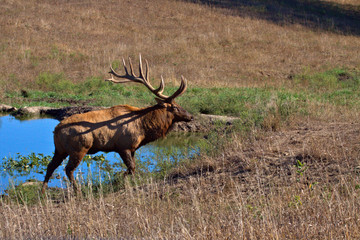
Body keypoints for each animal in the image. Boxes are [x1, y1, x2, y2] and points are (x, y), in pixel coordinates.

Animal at [41, 55, 193, 194]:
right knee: (68, 169)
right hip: (79, 148)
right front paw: (118, 179)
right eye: (175, 107)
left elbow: (133, 168)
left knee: (51, 166)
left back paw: (43, 191)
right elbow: (131, 168)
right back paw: (78, 190)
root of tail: (56, 130)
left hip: (60, 149)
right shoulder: (123, 146)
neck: (143, 128)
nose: (190, 116)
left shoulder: (133, 148)